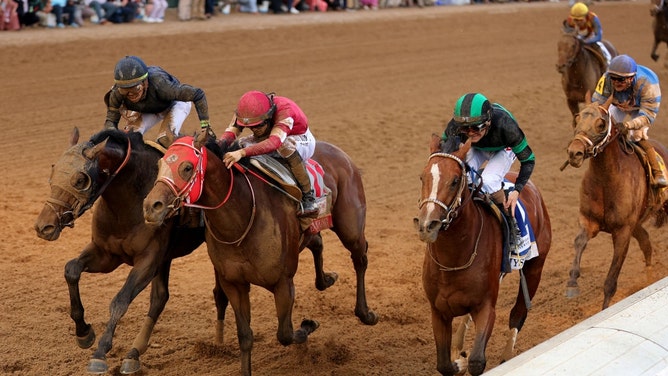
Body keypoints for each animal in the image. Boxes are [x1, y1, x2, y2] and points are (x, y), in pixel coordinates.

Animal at [33, 128, 224, 374]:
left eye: (80, 180)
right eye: (53, 172)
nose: (43, 227)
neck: (127, 204)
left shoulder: (147, 261)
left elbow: (120, 300)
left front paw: (99, 353)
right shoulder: (106, 255)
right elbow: (71, 269)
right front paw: (83, 332)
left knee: (218, 293)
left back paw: (219, 343)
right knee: (160, 297)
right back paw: (134, 353)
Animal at [144, 136, 378, 376]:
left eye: (187, 167)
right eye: (159, 165)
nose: (151, 206)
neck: (241, 218)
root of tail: (340, 153)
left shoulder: (284, 283)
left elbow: (285, 334)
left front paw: (309, 324)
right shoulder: (234, 284)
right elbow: (245, 336)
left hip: (350, 226)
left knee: (360, 258)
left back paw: (365, 313)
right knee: (317, 242)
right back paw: (327, 279)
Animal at [412, 134, 552, 374]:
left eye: (455, 180)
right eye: (423, 177)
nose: (427, 226)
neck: (453, 259)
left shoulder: (486, 307)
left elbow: (477, 360)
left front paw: (466, 360)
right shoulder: (438, 311)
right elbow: (443, 364)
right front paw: (458, 358)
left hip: (535, 266)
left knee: (518, 313)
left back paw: (506, 355)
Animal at [564, 95, 668, 310]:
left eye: (601, 124)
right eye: (577, 118)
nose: (574, 153)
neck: (606, 180)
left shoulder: (622, 232)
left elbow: (610, 281)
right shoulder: (589, 221)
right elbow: (579, 242)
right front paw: (572, 283)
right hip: (636, 223)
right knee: (646, 243)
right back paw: (649, 278)